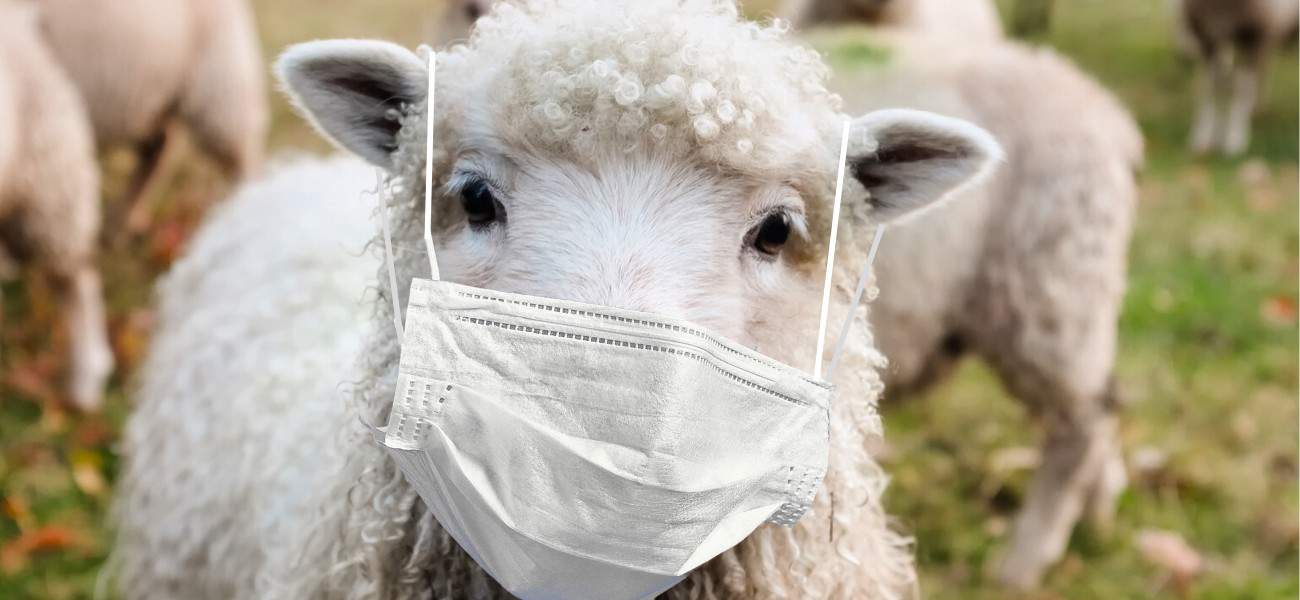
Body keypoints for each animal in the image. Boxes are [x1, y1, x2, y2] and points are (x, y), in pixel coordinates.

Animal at [819, 31, 1144, 589]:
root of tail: (1109, 113)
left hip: (1048, 288)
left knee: (1083, 423)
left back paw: (1025, 561)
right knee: (1102, 404)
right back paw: (1099, 513)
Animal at [1175, 0, 1298, 155]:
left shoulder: (1251, 34)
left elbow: (1240, 87)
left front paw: (1235, 138)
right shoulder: (1207, 35)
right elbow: (1212, 87)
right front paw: (1205, 137)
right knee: (1264, 65)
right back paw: (1257, 108)